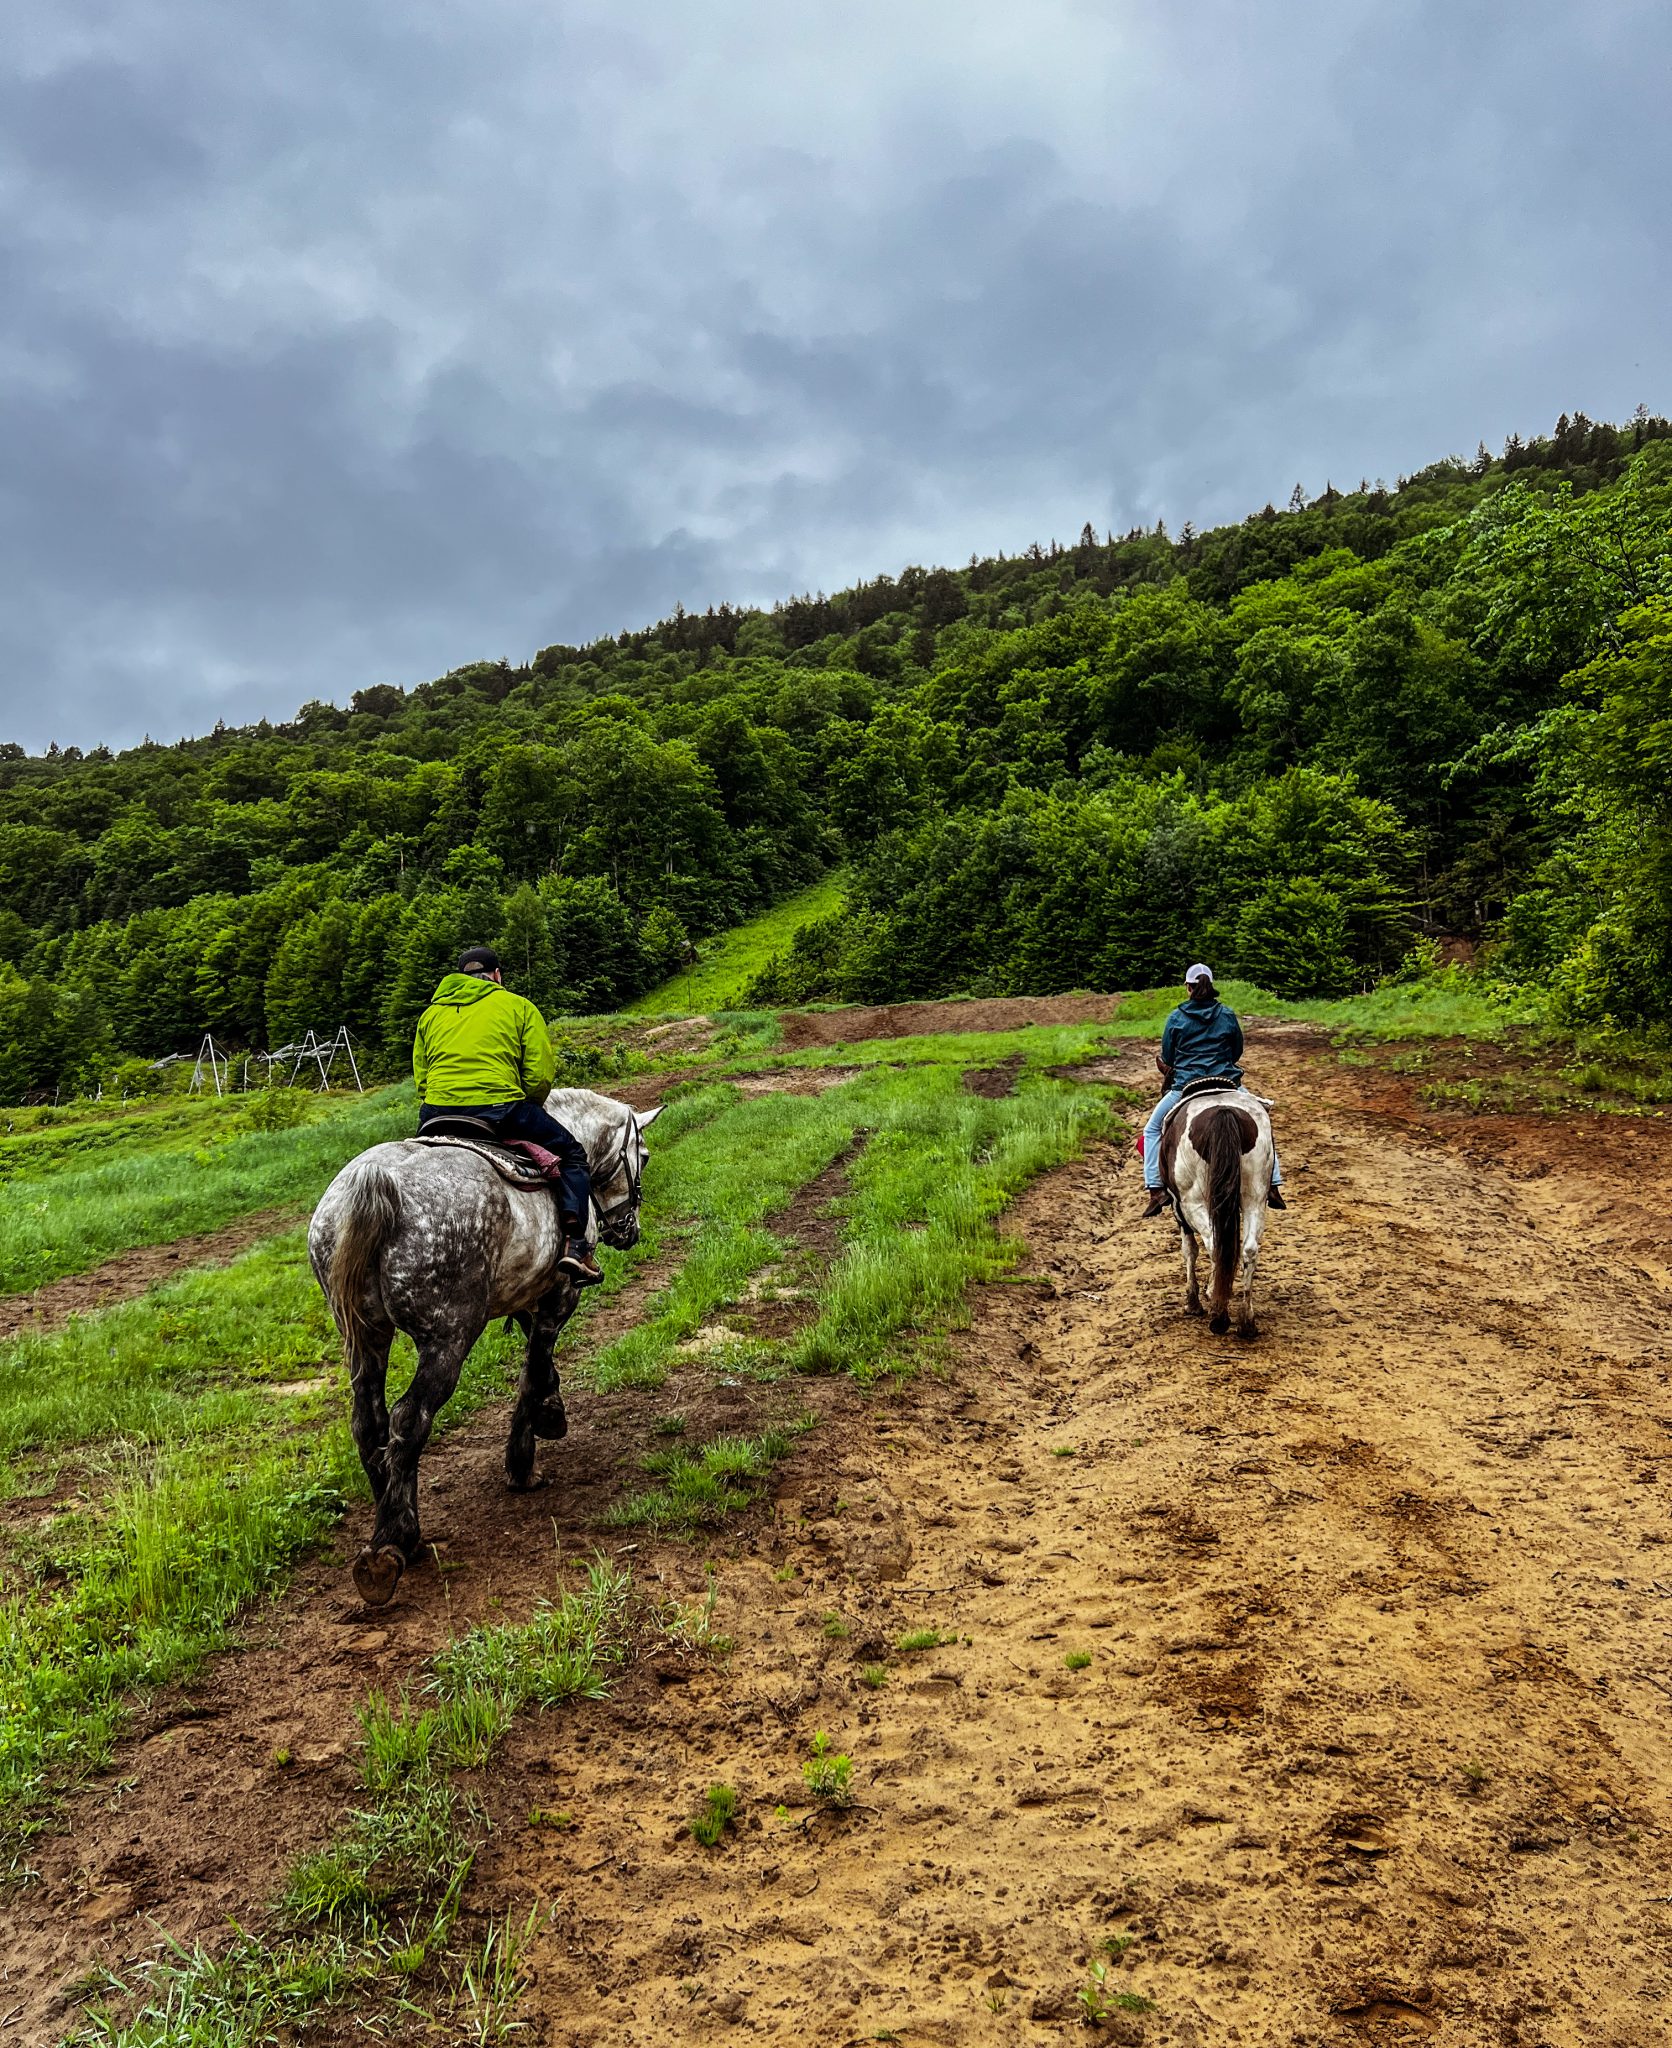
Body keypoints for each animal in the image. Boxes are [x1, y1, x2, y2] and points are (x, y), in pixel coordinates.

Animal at [311, 1089, 659, 1597]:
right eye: (643, 1156)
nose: (628, 1230)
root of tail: (377, 1185)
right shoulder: (561, 1294)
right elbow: (536, 1361)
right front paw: (525, 1456)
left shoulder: (526, 1292)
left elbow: (537, 1358)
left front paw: (549, 1412)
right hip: (449, 1338)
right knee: (408, 1418)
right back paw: (392, 1542)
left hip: (366, 1339)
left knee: (368, 1423)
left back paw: (396, 1526)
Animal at [1155, 1089, 1270, 1343]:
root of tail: (1223, 1111)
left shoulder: (1179, 1207)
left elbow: (1189, 1250)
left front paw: (1193, 1301)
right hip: (1256, 1197)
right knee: (1249, 1249)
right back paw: (1246, 1322)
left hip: (1193, 1201)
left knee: (1214, 1245)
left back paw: (1219, 1316)